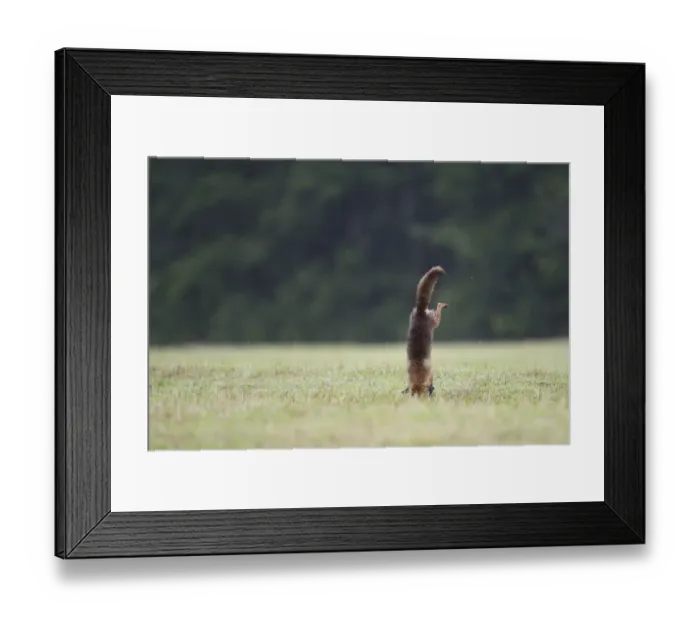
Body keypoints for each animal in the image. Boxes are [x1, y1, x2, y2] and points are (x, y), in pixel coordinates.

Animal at [402, 266, 448, 396]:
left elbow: (431, 379)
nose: (431, 391)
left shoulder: (429, 374)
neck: (418, 369)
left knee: (438, 306)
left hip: (435, 322)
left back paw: (443, 304)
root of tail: (420, 310)